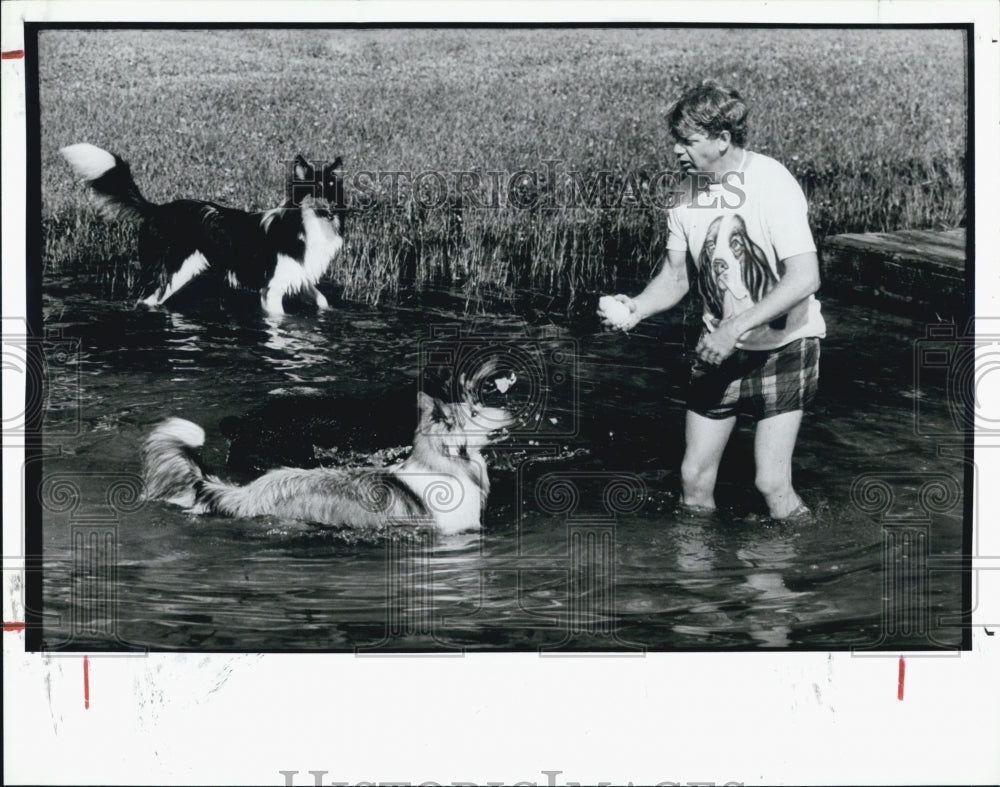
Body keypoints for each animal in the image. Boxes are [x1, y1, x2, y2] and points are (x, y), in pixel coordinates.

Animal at [61, 143, 348, 316]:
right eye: (317, 189)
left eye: (334, 189)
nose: (334, 210)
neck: (304, 224)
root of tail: (157, 209)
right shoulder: (272, 288)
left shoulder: (300, 277)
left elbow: (323, 301)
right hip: (166, 272)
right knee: (146, 300)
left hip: (179, 273)